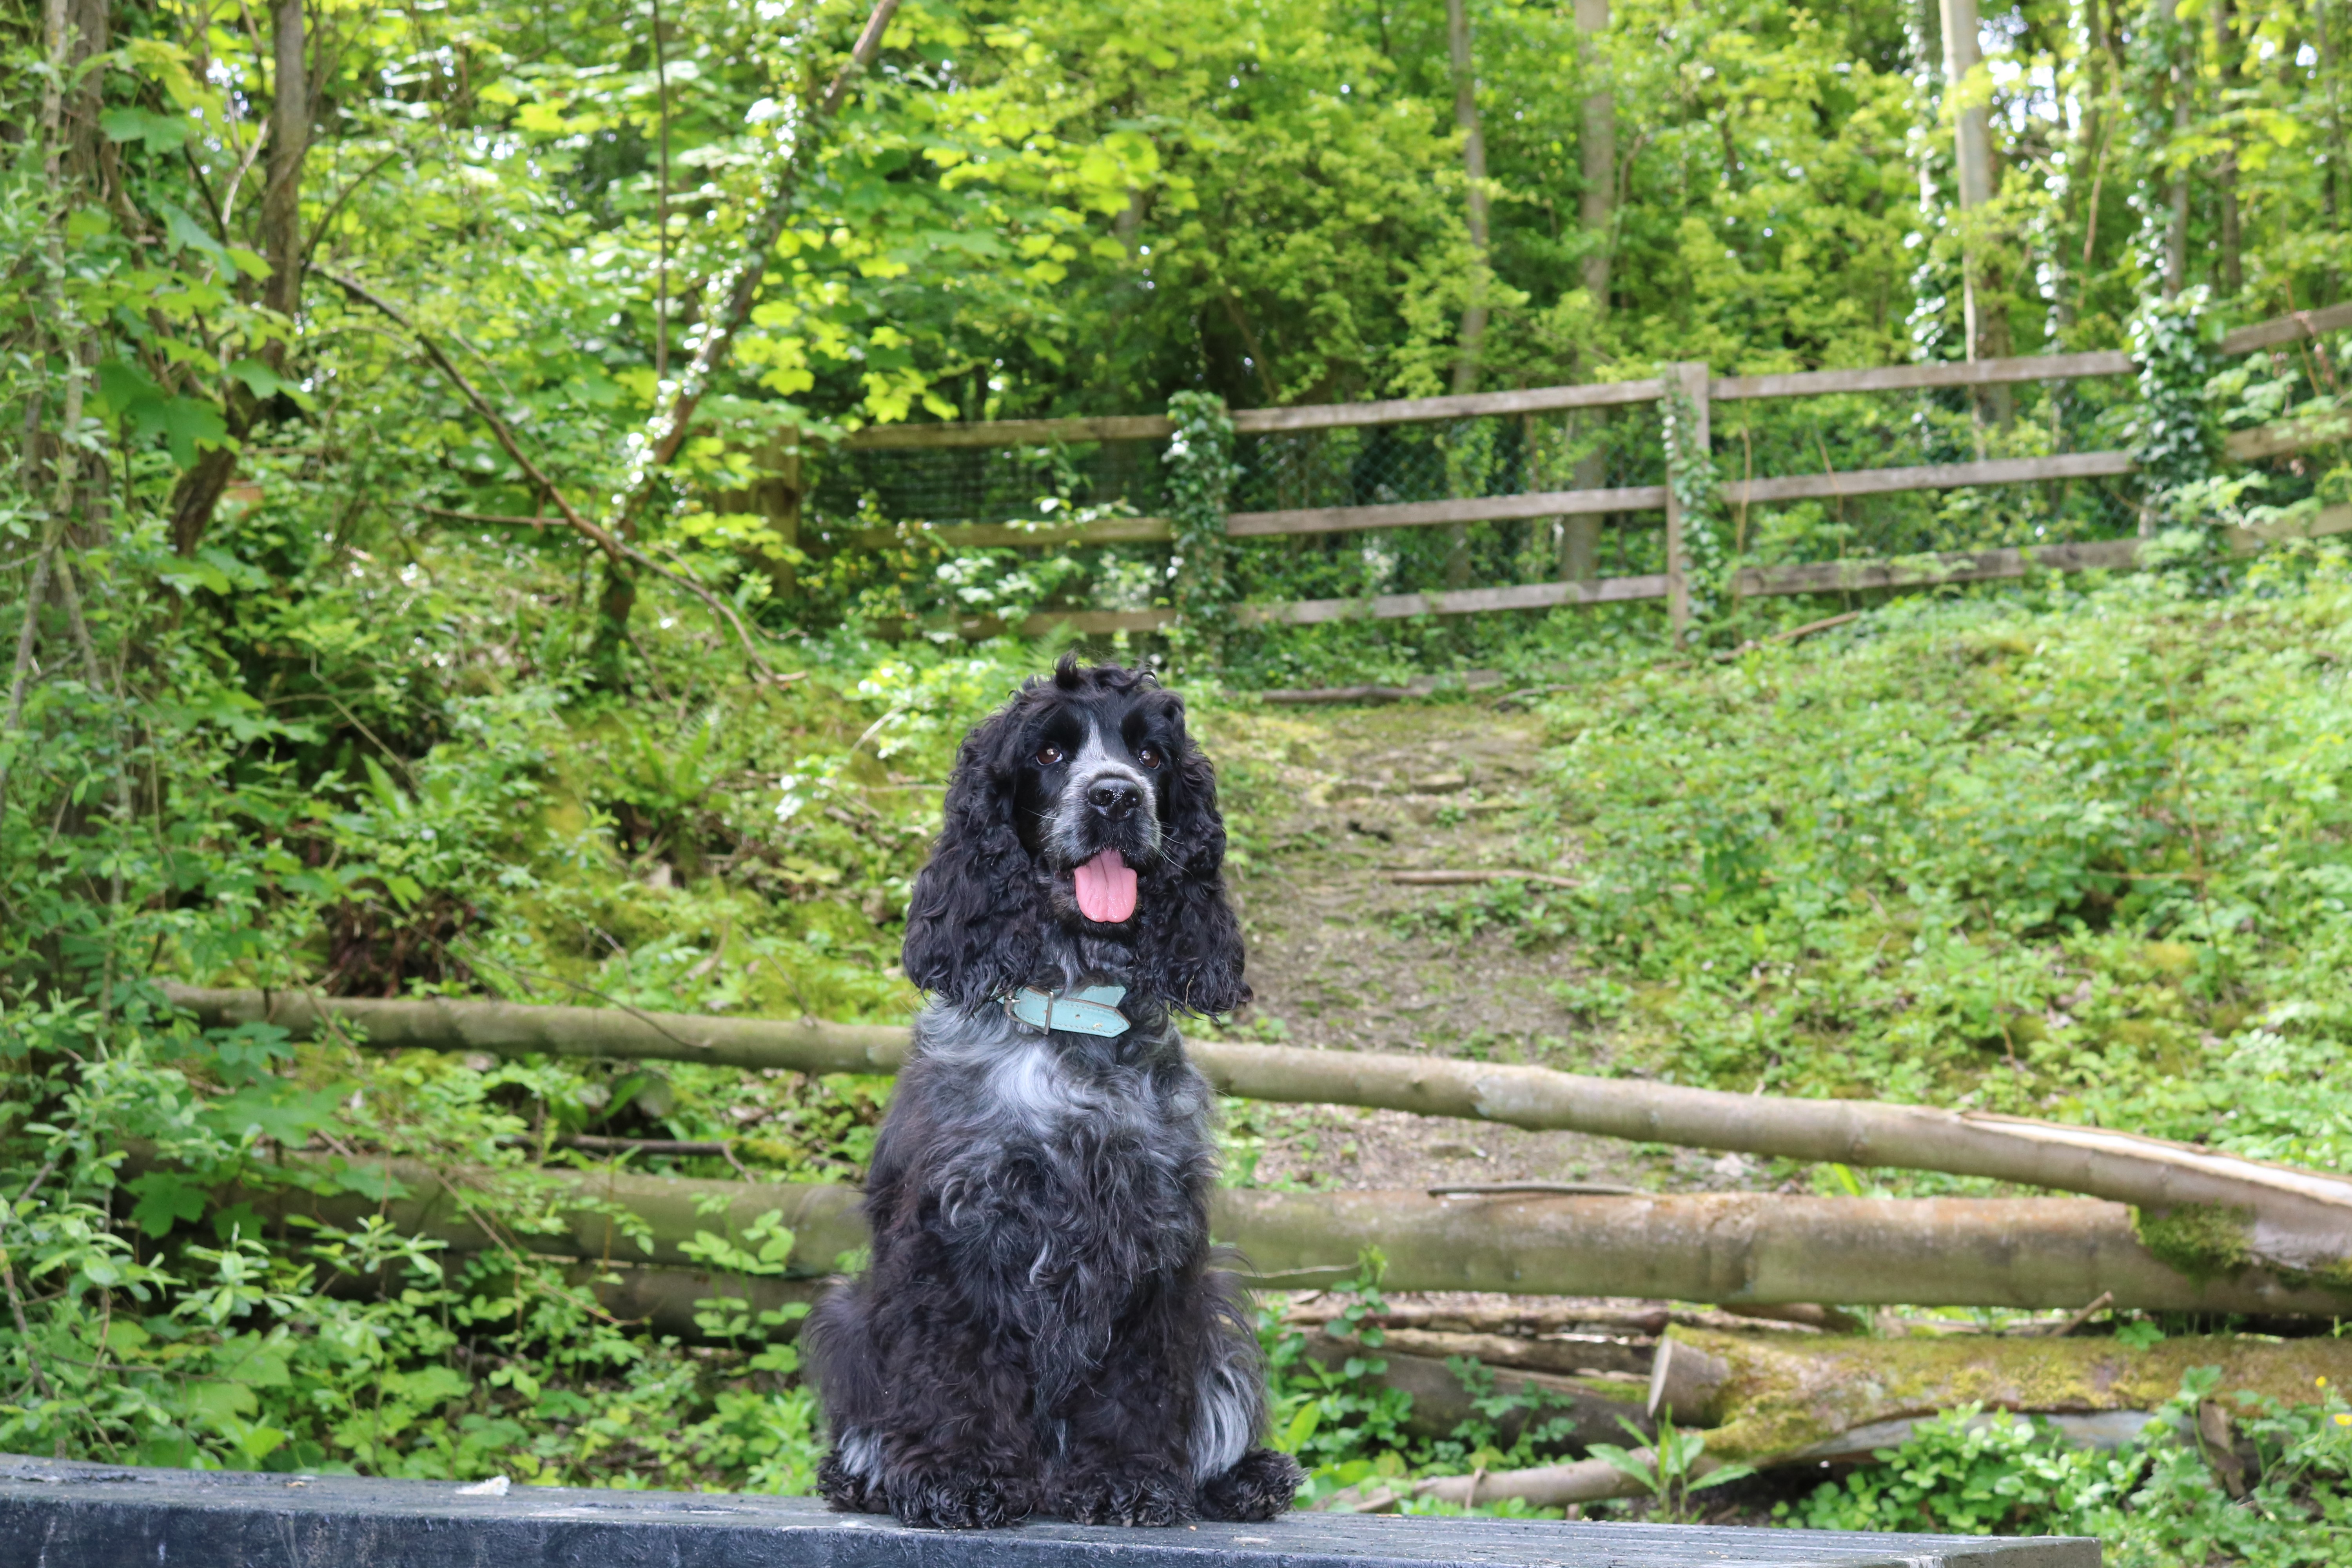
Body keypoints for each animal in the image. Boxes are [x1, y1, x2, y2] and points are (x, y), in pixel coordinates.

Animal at [804, 658, 1289, 1523]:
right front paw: (961, 1474)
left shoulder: (1154, 1243)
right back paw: (864, 1474)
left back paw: (1242, 1477)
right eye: (1050, 753)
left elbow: (1136, 1385)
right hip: (848, 1314)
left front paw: (1127, 1477)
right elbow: (955, 1371)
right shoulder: (954, 1235)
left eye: (1152, 755)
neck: (1076, 1017)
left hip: (1221, 1319)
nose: (1118, 796)